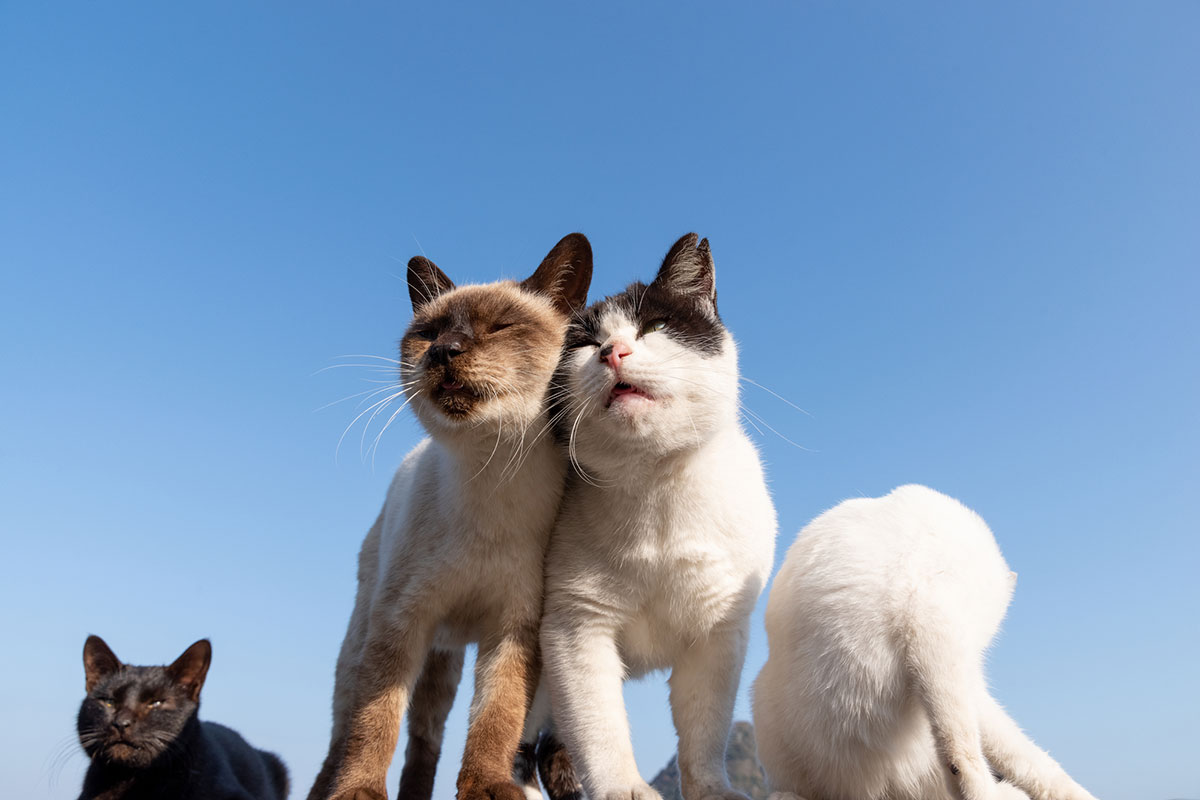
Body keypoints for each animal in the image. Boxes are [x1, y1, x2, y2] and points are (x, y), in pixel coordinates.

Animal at [307, 232, 592, 800]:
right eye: (430, 333)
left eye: (500, 326)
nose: (444, 352)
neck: (491, 481)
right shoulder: (400, 622)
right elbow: (375, 724)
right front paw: (360, 790)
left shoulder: (511, 629)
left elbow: (496, 720)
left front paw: (487, 786)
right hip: (371, 643)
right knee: (348, 735)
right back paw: (333, 788)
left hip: (444, 663)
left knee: (427, 739)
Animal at [528, 232, 772, 800]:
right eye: (581, 344)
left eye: (655, 327)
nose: (613, 351)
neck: (654, 490)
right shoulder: (575, 627)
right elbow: (598, 726)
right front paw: (623, 789)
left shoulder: (719, 633)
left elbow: (705, 728)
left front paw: (712, 789)